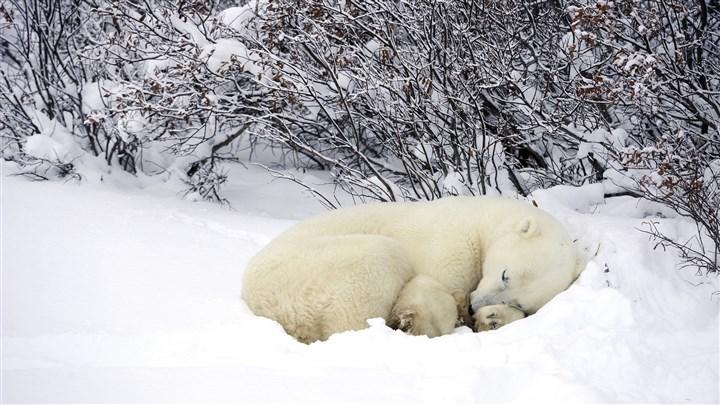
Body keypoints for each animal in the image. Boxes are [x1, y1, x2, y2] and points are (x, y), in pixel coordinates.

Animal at [240, 197, 580, 342]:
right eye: (504, 273)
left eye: (519, 301)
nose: (474, 305)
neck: (481, 219)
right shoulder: (450, 243)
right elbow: (432, 287)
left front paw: (493, 318)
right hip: (311, 270)